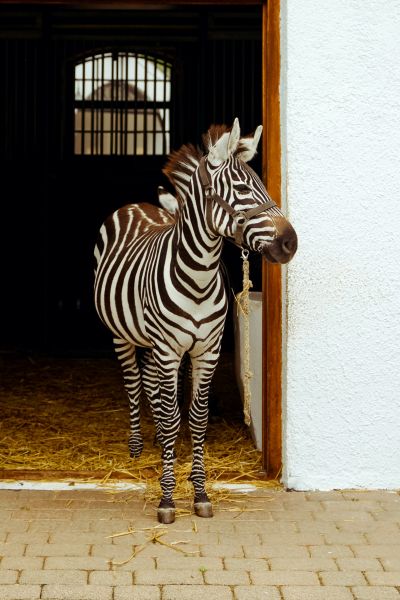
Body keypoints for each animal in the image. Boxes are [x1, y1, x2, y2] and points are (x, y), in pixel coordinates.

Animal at [94, 119, 296, 524]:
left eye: (264, 185)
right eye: (242, 188)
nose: (290, 242)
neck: (198, 278)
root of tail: (138, 205)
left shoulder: (206, 350)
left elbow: (196, 417)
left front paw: (200, 492)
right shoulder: (170, 349)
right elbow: (173, 415)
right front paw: (167, 497)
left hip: (152, 342)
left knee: (150, 385)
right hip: (122, 335)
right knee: (134, 384)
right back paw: (137, 448)